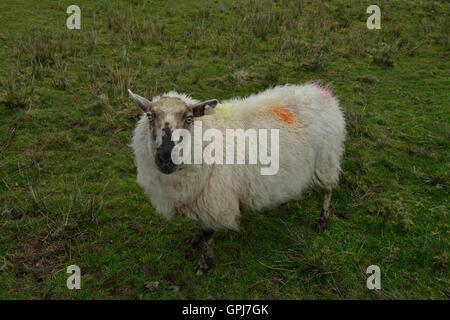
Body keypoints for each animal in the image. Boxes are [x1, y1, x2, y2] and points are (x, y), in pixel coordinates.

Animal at [128, 84, 346, 274]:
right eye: (149, 116)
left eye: (189, 119)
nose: (166, 158)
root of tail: (322, 92)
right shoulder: (196, 198)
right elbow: (198, 225)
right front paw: (194, 237)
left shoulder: (213, 200)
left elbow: (208, 234)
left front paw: (204, 263)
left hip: (326, 159)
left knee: (328, 189)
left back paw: (322, 220)